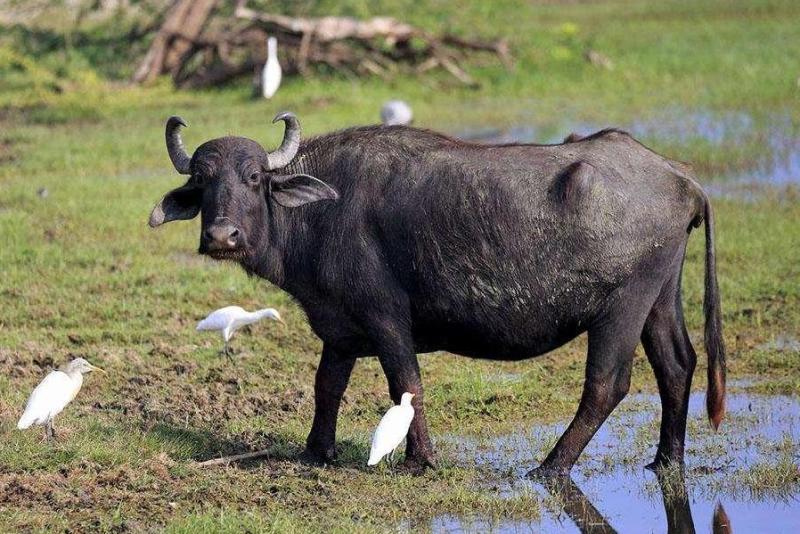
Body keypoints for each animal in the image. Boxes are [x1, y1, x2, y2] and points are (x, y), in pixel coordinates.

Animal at [148, 113, 724, 478]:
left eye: (252, 177)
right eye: (201, 181)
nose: (222, 236)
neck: (322, 210)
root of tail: (681, 178)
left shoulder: (386, 320)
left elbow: (407, 385)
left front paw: (419, 460)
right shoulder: (339, 328)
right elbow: (326, 385)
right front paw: (317, 452)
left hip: (622, 305)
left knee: (607, 385)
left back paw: (549, 467)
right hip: (660, 295)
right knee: (677, 364)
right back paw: (666, 459)